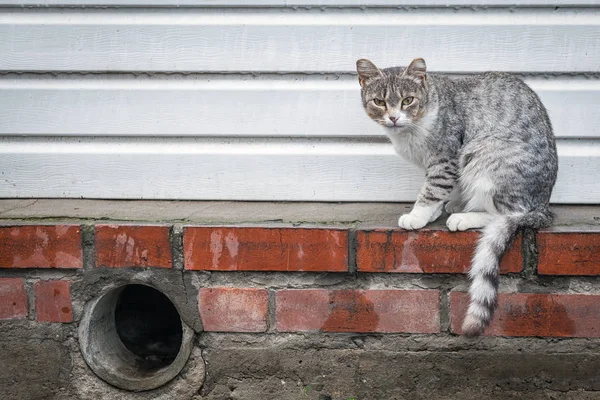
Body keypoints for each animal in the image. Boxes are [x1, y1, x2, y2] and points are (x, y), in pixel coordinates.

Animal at [356, 57, 556, 336]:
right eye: (380, 102)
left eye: (407, 100)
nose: (394, 117)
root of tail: (542, 207)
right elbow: (433, 188)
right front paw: (433, 211)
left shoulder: (445, 157)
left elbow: (433, 188)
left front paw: (418, 215)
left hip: (486, 153)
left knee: (506, 212)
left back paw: (464, 216)